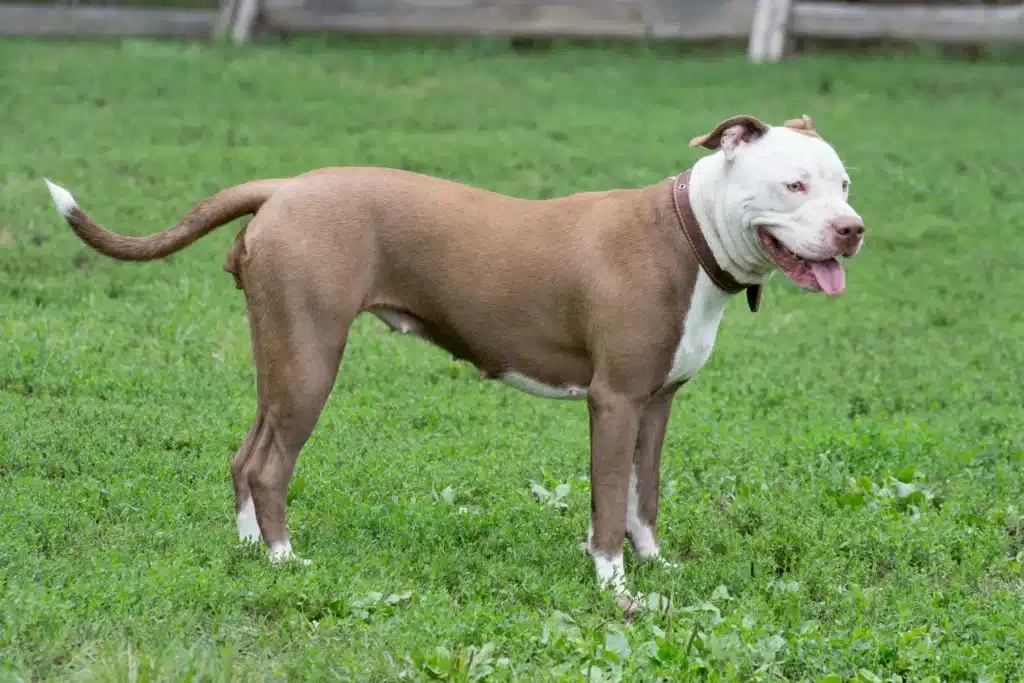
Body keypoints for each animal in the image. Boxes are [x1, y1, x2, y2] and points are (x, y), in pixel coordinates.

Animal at [46, 113, 864, 610]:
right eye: (794, 183)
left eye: (844, 182)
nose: (853, 229)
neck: (688, 234)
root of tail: (285, 187)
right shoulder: (615, 400)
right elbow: (607, 503)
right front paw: (615, 588)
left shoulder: (656, 403)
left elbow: (643, 496)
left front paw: (656, 564)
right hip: (311, 361)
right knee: (272, 466)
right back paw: (283, 559)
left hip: (278, 359)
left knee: (246, 456)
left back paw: (251, 548)